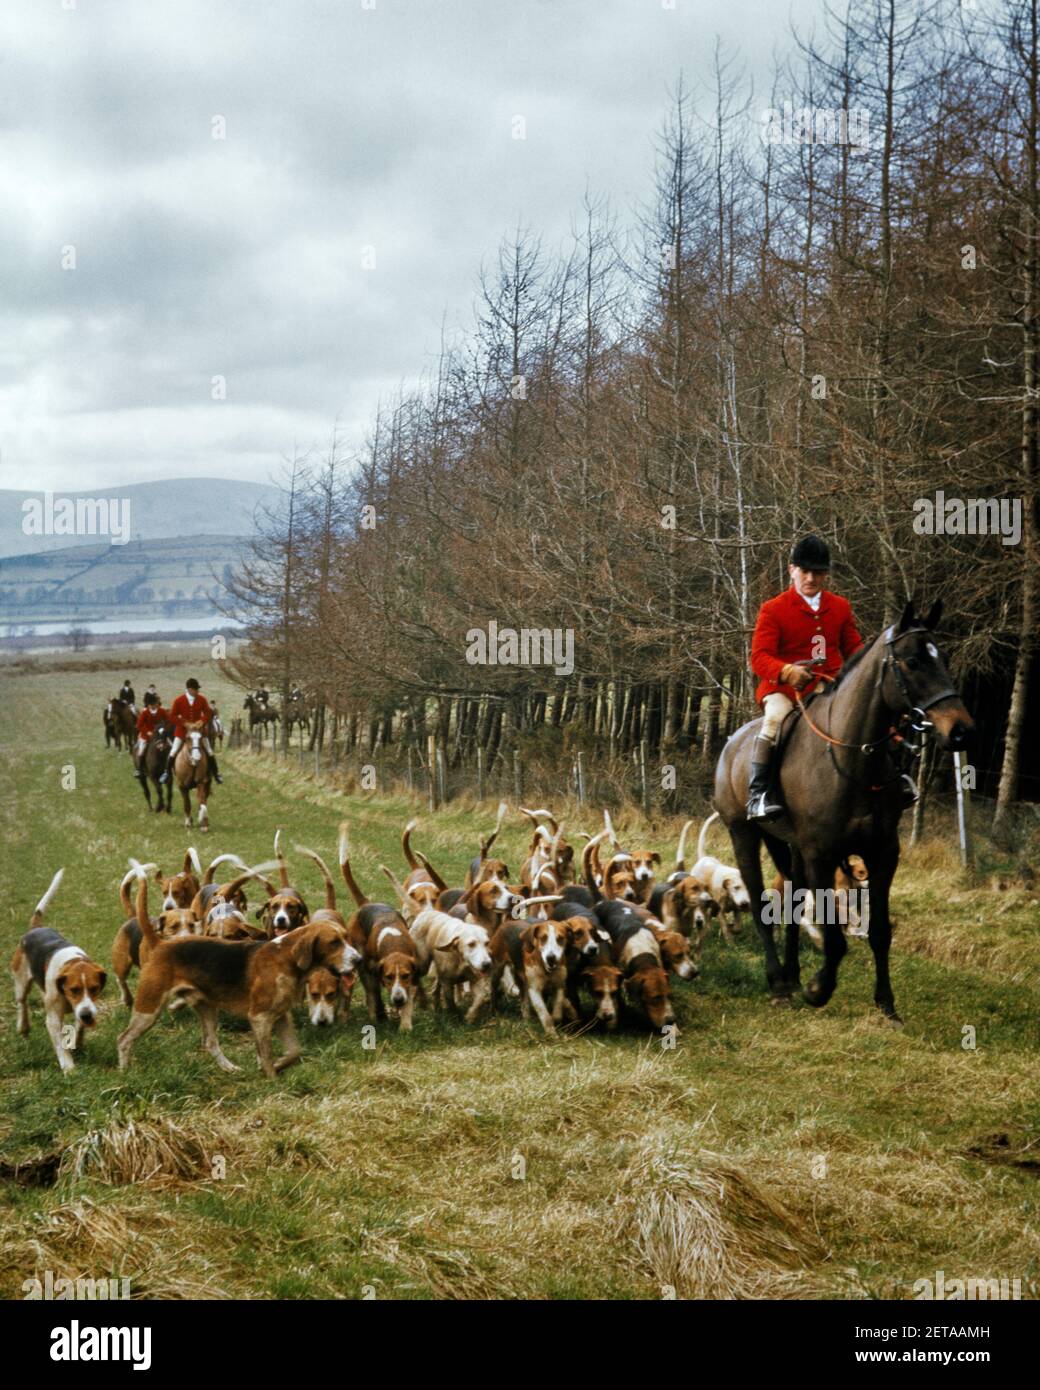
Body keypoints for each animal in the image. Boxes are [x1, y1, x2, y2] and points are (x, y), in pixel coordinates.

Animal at [711, 603, 973, 1028]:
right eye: (913, 661)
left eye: (945, 659)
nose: (962, 730)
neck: (852, 760)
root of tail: (732, 743)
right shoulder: (822, 854)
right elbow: (834, 937)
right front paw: (819, 989)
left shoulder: (883, 854)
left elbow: (880, 931)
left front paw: (887, 1005)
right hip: (743, 835)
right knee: (760, 903)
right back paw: (779, 983)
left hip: (789, 847)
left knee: (790, 903)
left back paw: (790, 974)